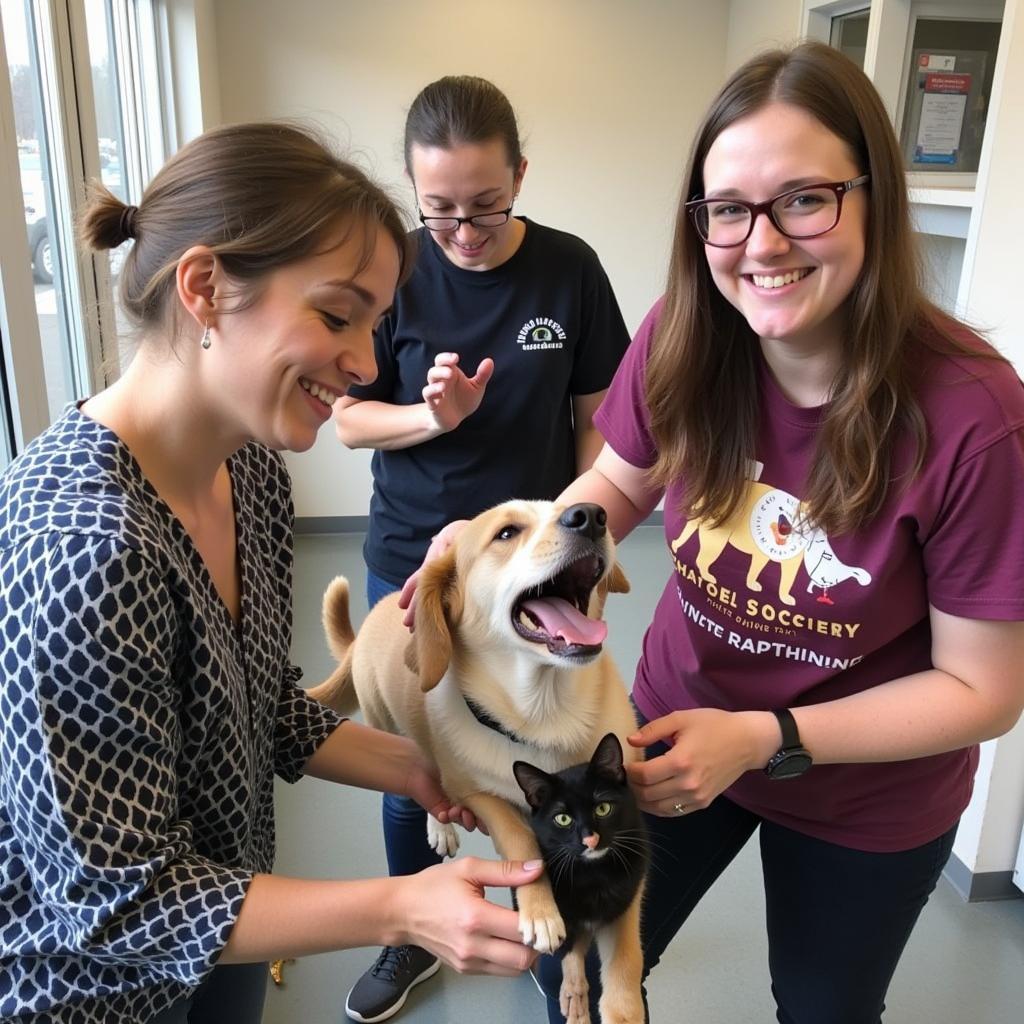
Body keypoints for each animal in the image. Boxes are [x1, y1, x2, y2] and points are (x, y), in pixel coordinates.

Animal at [512, 733, 647, 1024]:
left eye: (603, 808)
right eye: (563, 818)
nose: (590, 839)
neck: (593, 874)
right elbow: (568, 947)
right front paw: (575, 995)